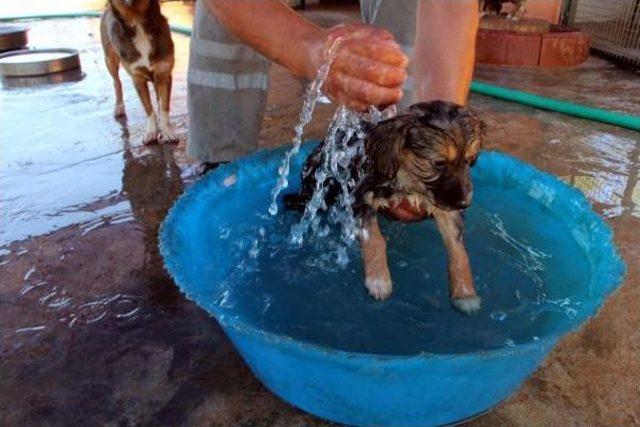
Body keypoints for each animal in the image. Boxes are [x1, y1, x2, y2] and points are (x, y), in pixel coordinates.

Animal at [100, 0, 176, 144]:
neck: (138, 22)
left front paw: (166, 131)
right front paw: (152, 131)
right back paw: (119, 106)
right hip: (109, 60)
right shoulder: (137, 79)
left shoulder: (163, 74)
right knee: (116, 82)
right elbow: (148, 109)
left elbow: (164, 107)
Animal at [284, 100, 484, 314]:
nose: (465, 203)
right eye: (438, 162)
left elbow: (458, 249)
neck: (408, 181)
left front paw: (465, 292)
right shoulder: (360, 197)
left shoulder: (444, 205)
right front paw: (379, 279)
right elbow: (375, 239)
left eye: (470, 160)